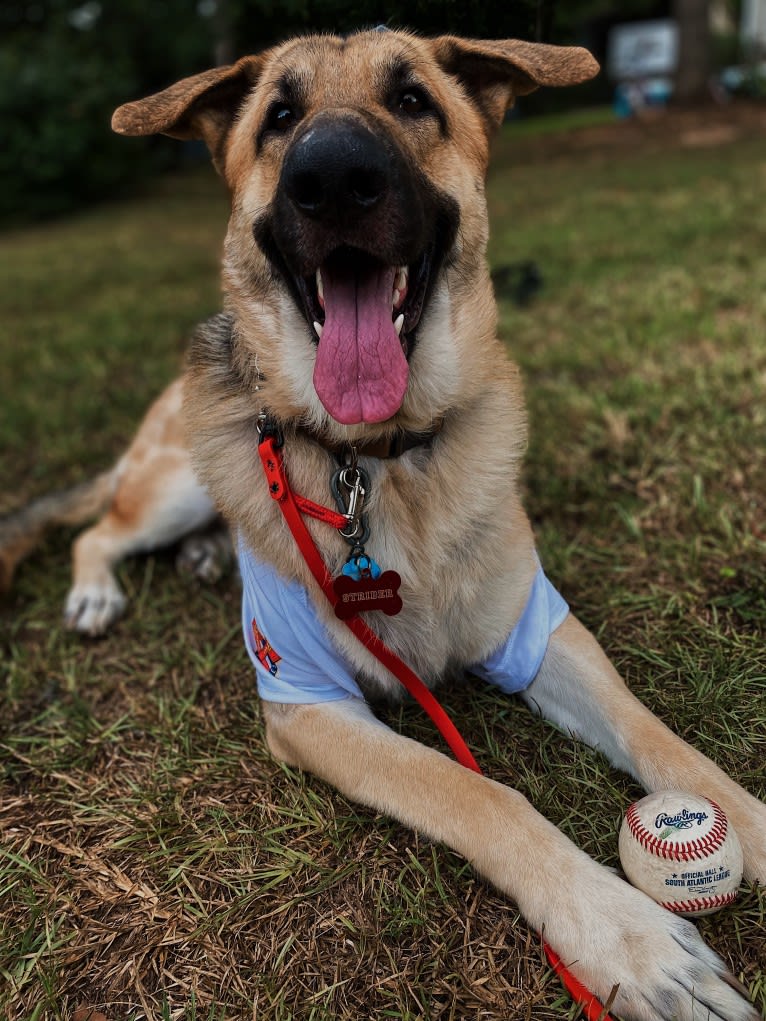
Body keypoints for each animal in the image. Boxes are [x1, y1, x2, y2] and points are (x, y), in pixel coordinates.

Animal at [3, 25, 763, 1021]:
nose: (331, 177)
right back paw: (98, 592)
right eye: (279, 116)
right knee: (99, 531)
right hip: (175, 482)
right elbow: (478, 792)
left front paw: (746, 817)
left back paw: (207, 560)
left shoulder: (540, 629)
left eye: (412, 102)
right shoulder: (311, 707)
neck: (379, 461)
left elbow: (662, 740)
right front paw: (623, 934)